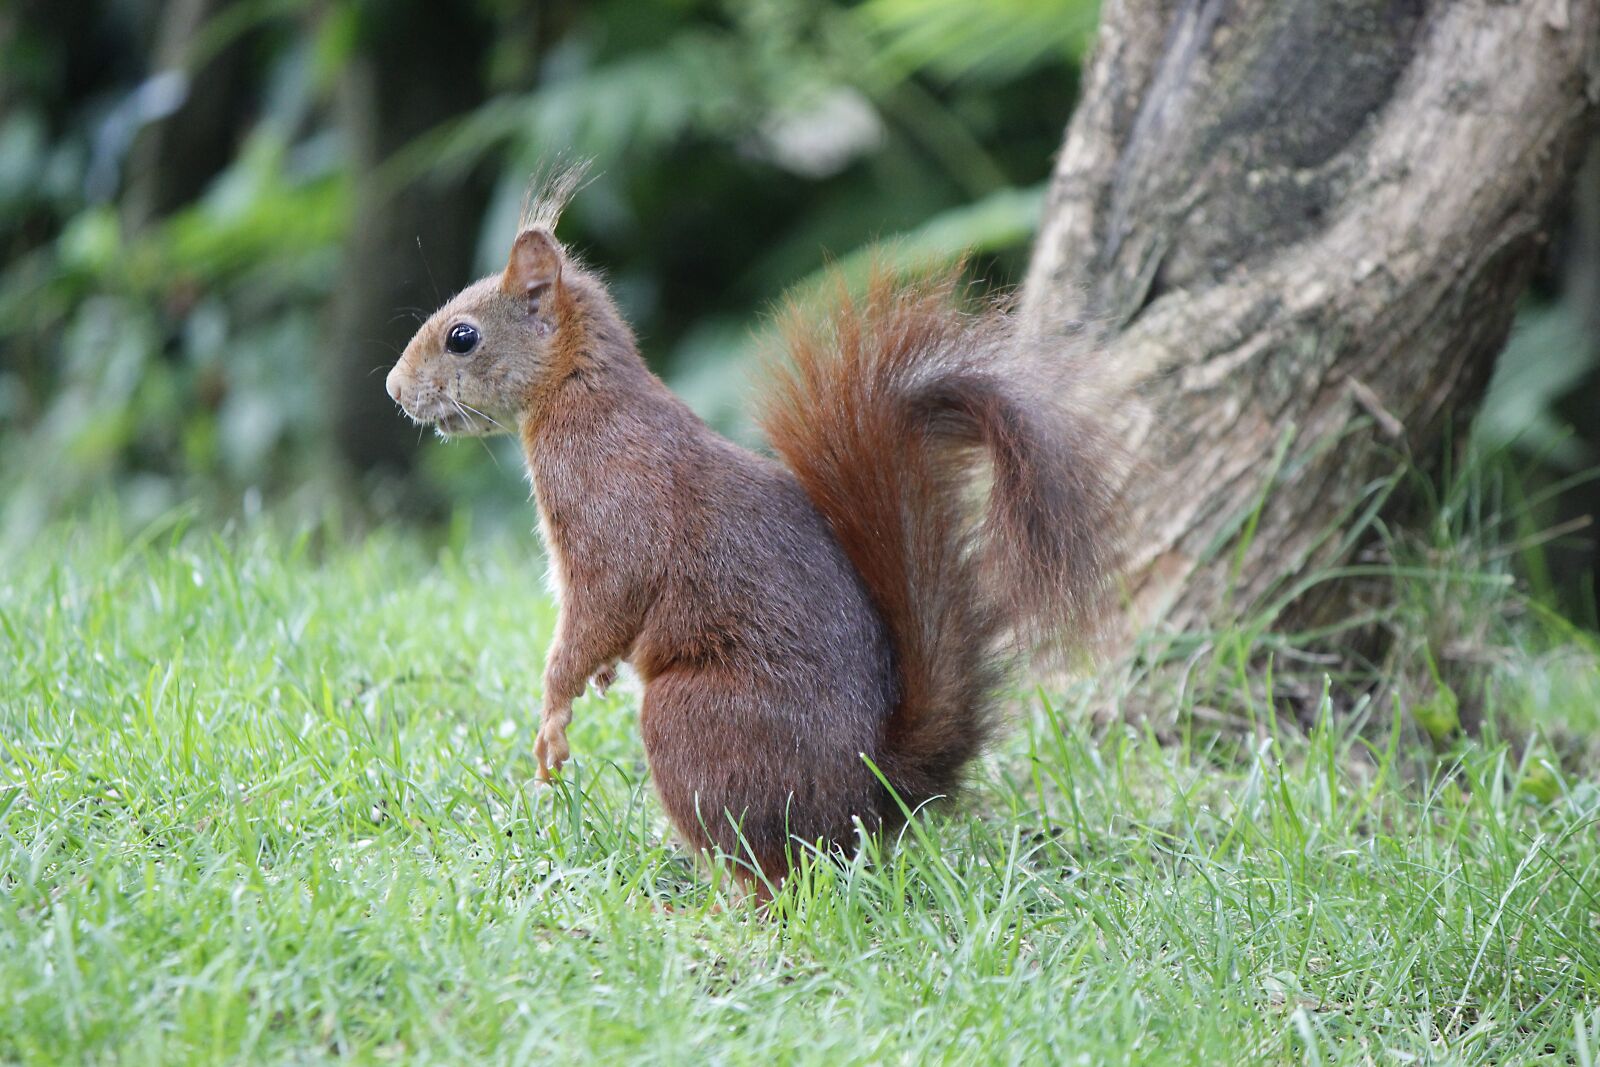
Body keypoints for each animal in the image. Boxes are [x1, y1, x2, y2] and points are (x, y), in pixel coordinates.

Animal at [384, 168, 1121, 898]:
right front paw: (597, 679)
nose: (393, 389)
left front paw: (554, 714)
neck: (580, 394)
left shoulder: (611, 517)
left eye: (462, 337)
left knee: (774, 873)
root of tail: (871, 792)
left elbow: (599, 609)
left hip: (691, 720)